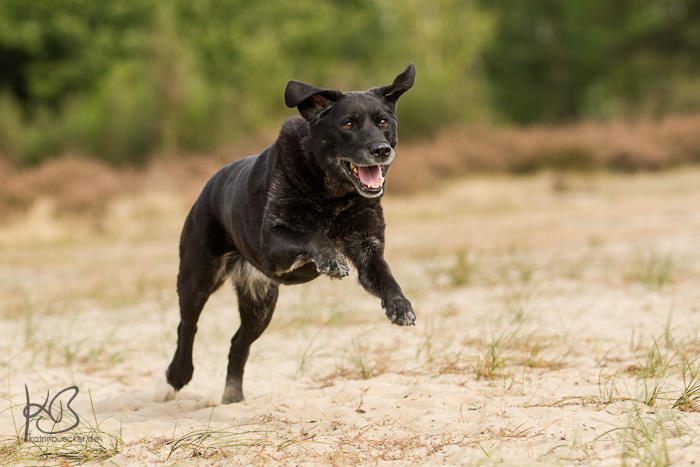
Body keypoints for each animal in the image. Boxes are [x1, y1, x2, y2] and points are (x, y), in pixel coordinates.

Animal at [165, 64, 416, 404]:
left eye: (383, 122)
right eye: (348, 124)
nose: (381, 150)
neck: (333, 195)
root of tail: (206, 189)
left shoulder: (368, 249)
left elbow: (386, 276)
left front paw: (400, 305)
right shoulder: (273, 242)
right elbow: (312, 236)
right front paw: (331, 259)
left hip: (260, 305)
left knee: (237, 345)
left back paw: (233, 398)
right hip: (198, 278)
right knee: (187, 325)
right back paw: (178, 373)